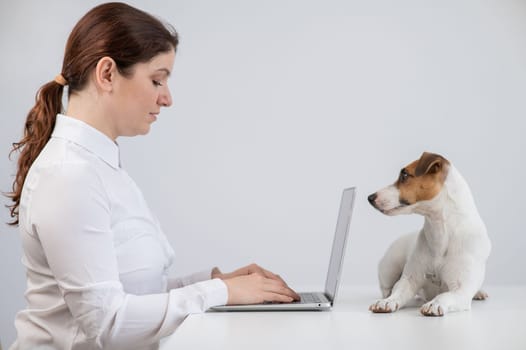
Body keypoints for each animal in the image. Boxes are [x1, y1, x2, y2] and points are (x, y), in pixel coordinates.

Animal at [370, 152, 492, 316]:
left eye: (404, 175)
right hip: (389, 267)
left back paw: (479, 293)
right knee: (387, 287)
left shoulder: (460, 291)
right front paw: (388, 302)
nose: (370, 197)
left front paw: (434, 304)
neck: (440, 232)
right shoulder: (409, 280)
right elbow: (398, 291)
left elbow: (444, 295)